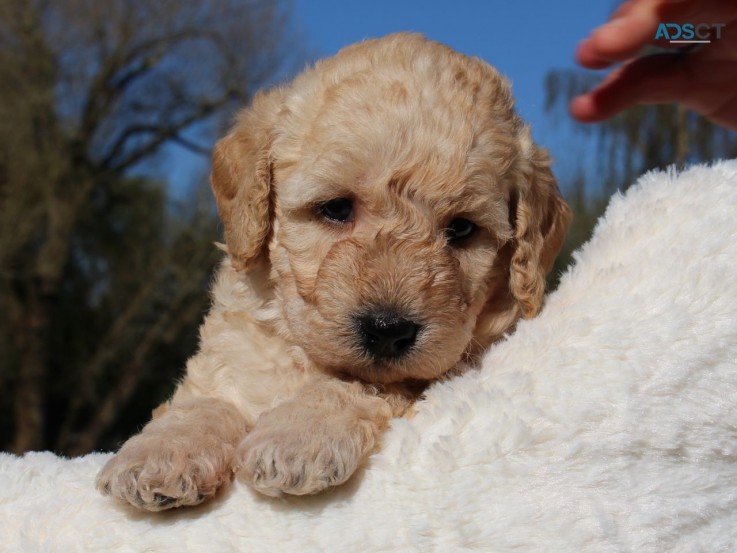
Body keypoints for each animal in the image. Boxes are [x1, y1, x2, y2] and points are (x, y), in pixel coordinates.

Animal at [96, 33, 568, 508]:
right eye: (336, 208)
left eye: (463, 229)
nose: (387, 330)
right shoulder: (229, 353)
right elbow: (206, 398)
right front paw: (163, 452)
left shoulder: (449, 369)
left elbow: (360, 384)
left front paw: (296, 437)